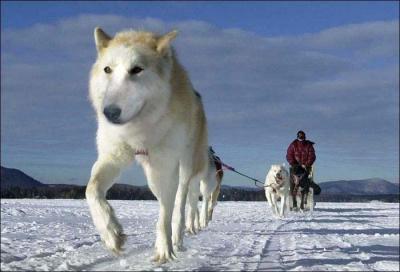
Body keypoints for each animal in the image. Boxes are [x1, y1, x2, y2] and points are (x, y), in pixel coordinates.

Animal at [85, 26, 209, 262]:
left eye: (137, 70)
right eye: (107, 69)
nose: (109, 113)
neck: (140, 130)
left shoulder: (165, 168)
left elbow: (165, 215)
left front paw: (164, 250)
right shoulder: (112, 157)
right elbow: (92, 190)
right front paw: (111, 234)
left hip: (183, 169)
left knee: (178, 204)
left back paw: (177, 238)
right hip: (153, 179)